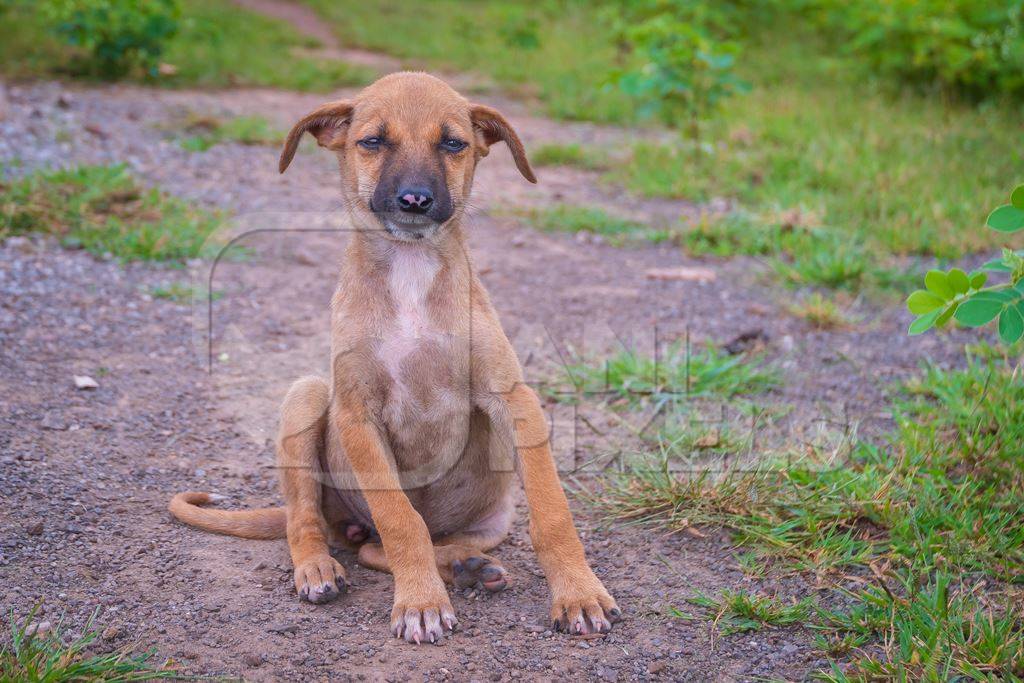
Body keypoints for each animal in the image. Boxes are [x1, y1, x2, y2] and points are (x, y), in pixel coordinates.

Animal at [168, 72, 618, 643]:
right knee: (311, 521)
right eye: (373, 141)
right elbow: (401, 520)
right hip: (307, 396)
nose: (415, 200)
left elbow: (552, 510)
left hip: (491, 519)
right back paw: (319, 568)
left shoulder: (514, 399)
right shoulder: (357, 414)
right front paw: (421, 602)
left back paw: (468, 565)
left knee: (385, 546)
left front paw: (578, 592)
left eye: (453, 144)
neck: (411, 270)